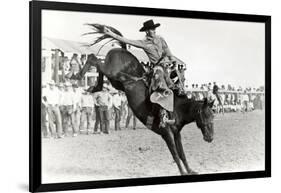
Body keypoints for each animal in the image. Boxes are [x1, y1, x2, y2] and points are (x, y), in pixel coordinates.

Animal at [70, 24, 214, 175]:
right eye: (205, 115)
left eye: (213, 116)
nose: (210, 138)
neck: (177, 108)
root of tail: (121, 49)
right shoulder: (166, 133)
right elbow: (175, 154)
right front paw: (183, 172)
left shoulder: (176, 133)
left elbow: (182, 153)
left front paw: (190, 170)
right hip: (113, 73)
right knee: (94, 59)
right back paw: (78, 76)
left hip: (115, 81)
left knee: (99, 68)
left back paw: (94, 87)